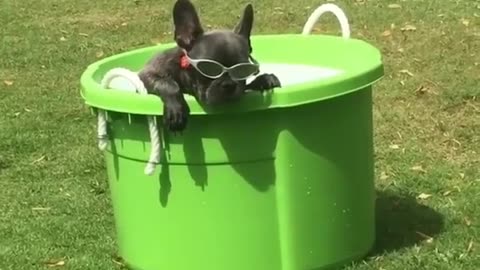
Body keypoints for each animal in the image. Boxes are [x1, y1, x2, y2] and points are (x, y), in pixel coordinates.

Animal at [139, 0, 280, 133]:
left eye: (243, 70)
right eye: (209, 69)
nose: (228, 84)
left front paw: (264, 79)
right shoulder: (148, 73)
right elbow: (168, 83)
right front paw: (175, 110)